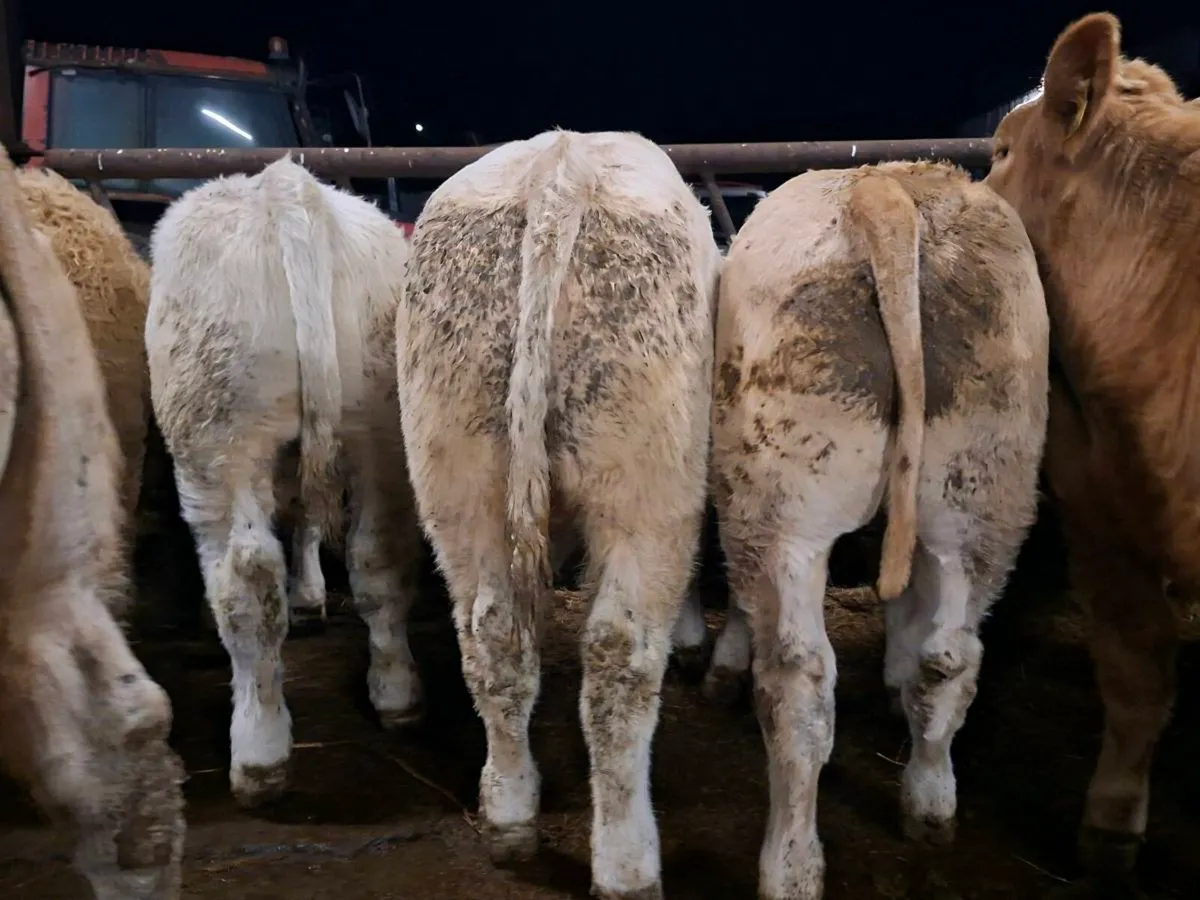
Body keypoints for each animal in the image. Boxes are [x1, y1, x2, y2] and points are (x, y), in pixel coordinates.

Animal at [146, 155, 424, 808]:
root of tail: (284, 188)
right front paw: (313, 595)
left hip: (217, 440)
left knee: (244, 580)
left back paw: (259, 750)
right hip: (377, 421)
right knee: (377, 557)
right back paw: (395, 693)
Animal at [396, 128, 721, 900]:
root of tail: (561, 166)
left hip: (457, 473)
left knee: (492, 633)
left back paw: (509, 807)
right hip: (648, 485)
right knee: (618, 653)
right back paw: (627, 858)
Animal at [710, 161, 1048, 899]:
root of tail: (885, 189)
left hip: (781, 506)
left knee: (799, 684)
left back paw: (791, 863)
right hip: (982, 492)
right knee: (950, 657)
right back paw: (929, 803)